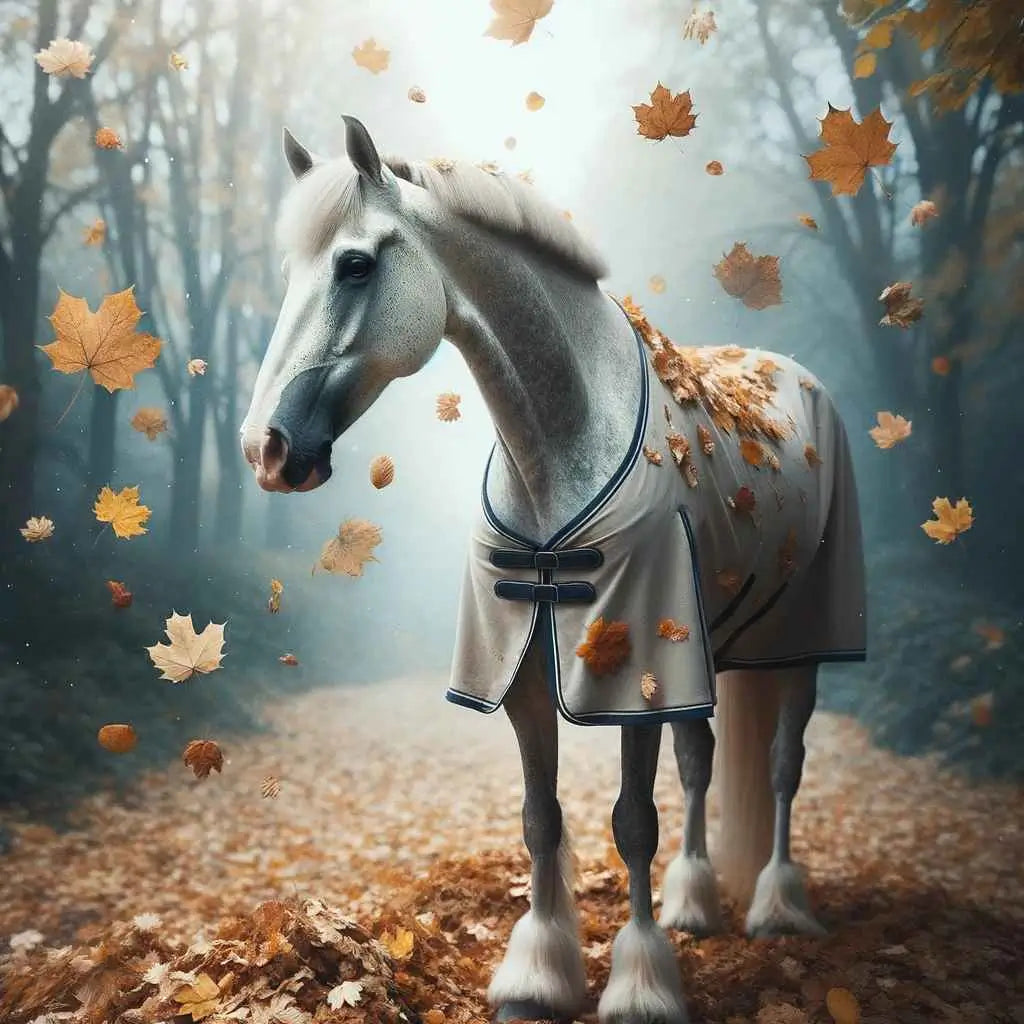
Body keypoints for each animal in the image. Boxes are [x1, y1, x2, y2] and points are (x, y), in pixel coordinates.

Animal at [240, 116, 867, 1024]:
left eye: (355, 265)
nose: (267, 448)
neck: (564, 444)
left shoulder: (637, 671)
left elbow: (632, 821)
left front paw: (640, 985)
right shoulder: (523, 673)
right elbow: (541, 817)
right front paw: (537, 977)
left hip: (799, 642)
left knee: (784, 767)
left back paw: (777, 908)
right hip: (704, 652)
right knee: (702, 761)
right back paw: (694, 903)